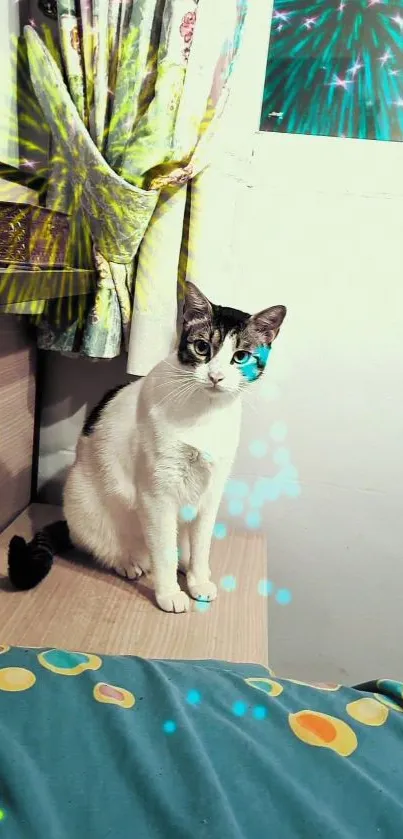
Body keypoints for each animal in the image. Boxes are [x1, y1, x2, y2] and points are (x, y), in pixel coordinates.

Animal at [8, 280, 288, 612]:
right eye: (202, 347)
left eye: (241, 356)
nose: (215, 376)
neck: (205, 413)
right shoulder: (157, 494)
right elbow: (163, 551)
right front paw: (169, 594)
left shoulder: (211, 492)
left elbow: (202, 543)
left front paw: (198, 580)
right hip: (85, 505)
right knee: (104, 546)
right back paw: (128, 563)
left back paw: (186, 562)